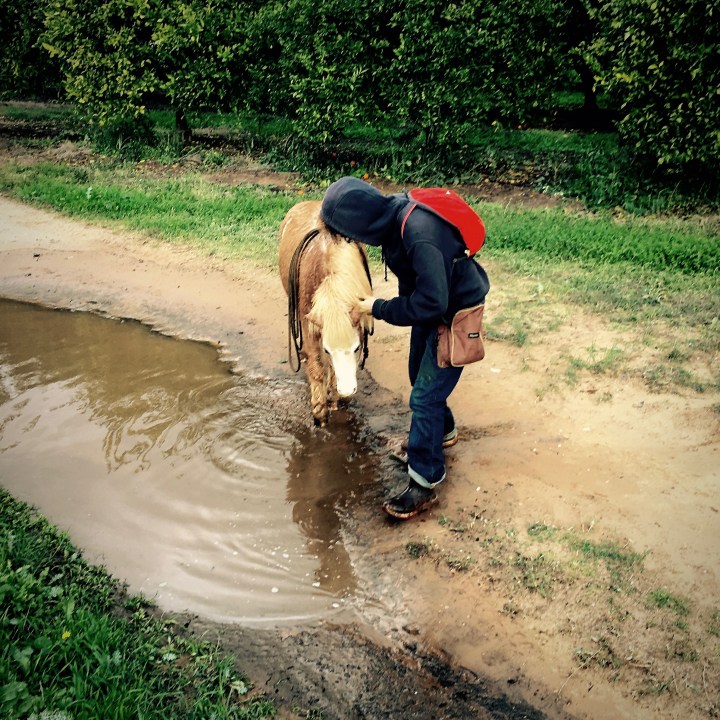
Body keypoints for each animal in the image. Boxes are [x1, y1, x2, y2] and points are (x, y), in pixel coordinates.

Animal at [278, 201, 374, 426]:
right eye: (327, 350)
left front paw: (335, 399)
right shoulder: (309, 325)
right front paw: (319, 412)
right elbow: (317, 368)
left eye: (357, 348)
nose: (347, 390)